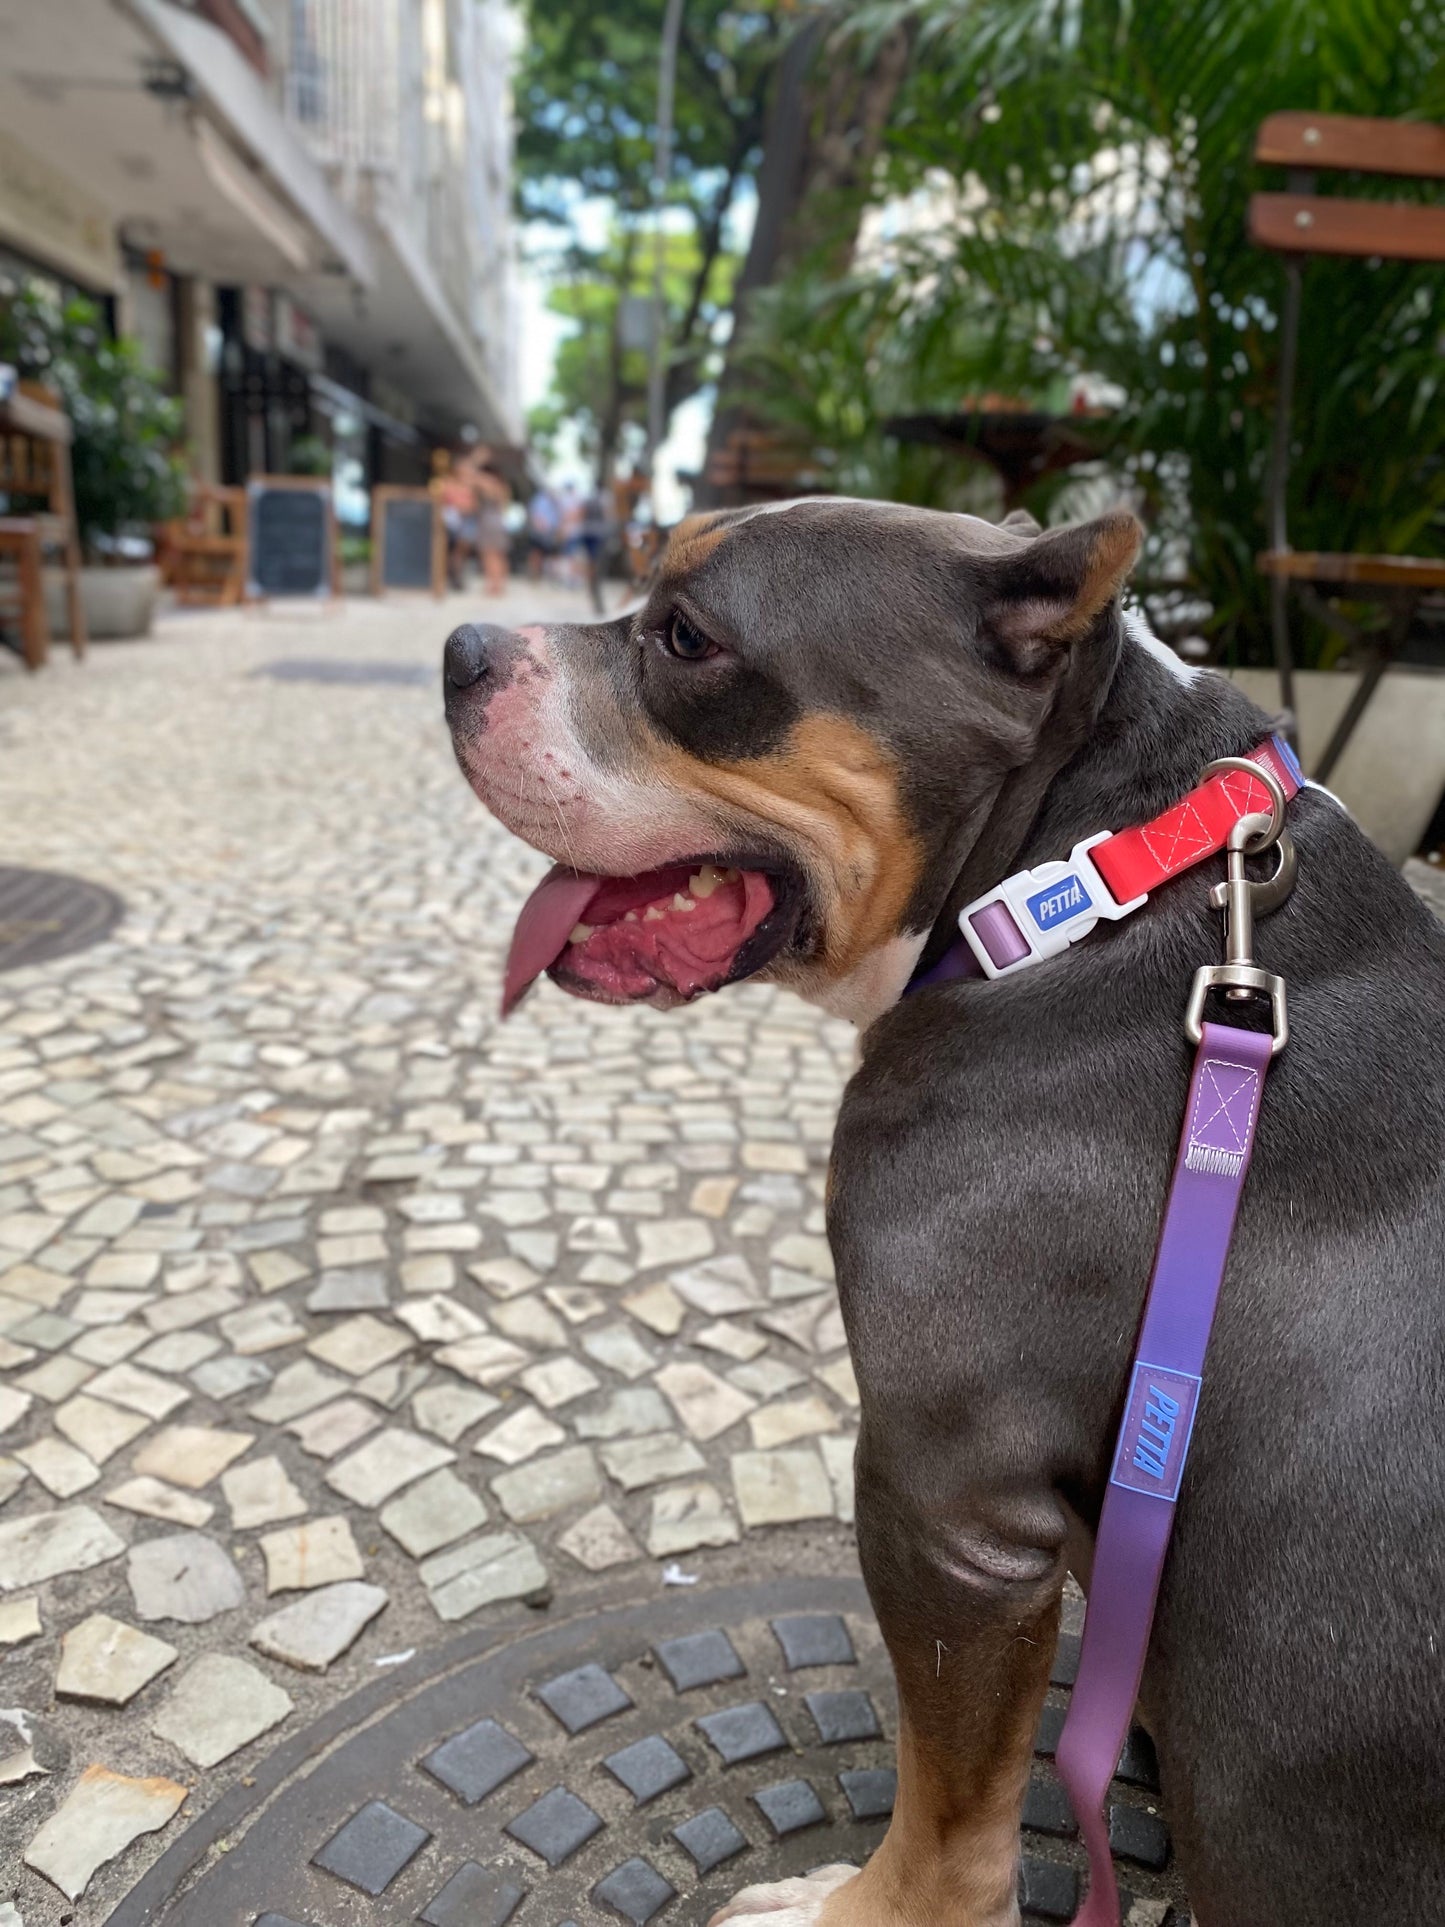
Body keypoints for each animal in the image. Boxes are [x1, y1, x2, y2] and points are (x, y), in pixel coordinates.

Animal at [445, 501, 1445, 1927]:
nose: (458, 650)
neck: (1076, 889)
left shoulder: (946, 1512)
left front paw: (848, 1911)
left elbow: (946, 1810)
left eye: (687, 639)